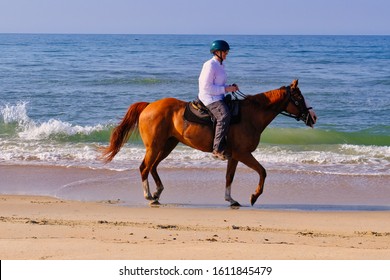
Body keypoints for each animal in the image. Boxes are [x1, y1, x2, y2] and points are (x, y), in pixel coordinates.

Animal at [102, 80, 316, 207]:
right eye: (299, 97)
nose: (313, 117)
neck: (251, 115)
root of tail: (148, 106)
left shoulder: (234, 156)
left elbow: (229, 177)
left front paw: (231, 199)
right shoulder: (244, 154)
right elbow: (262, 171)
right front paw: (254, 196)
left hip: (168, 145)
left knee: (153, 167)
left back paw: (156, 193)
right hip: (154, 146)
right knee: (144, 167)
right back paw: (149, 196)